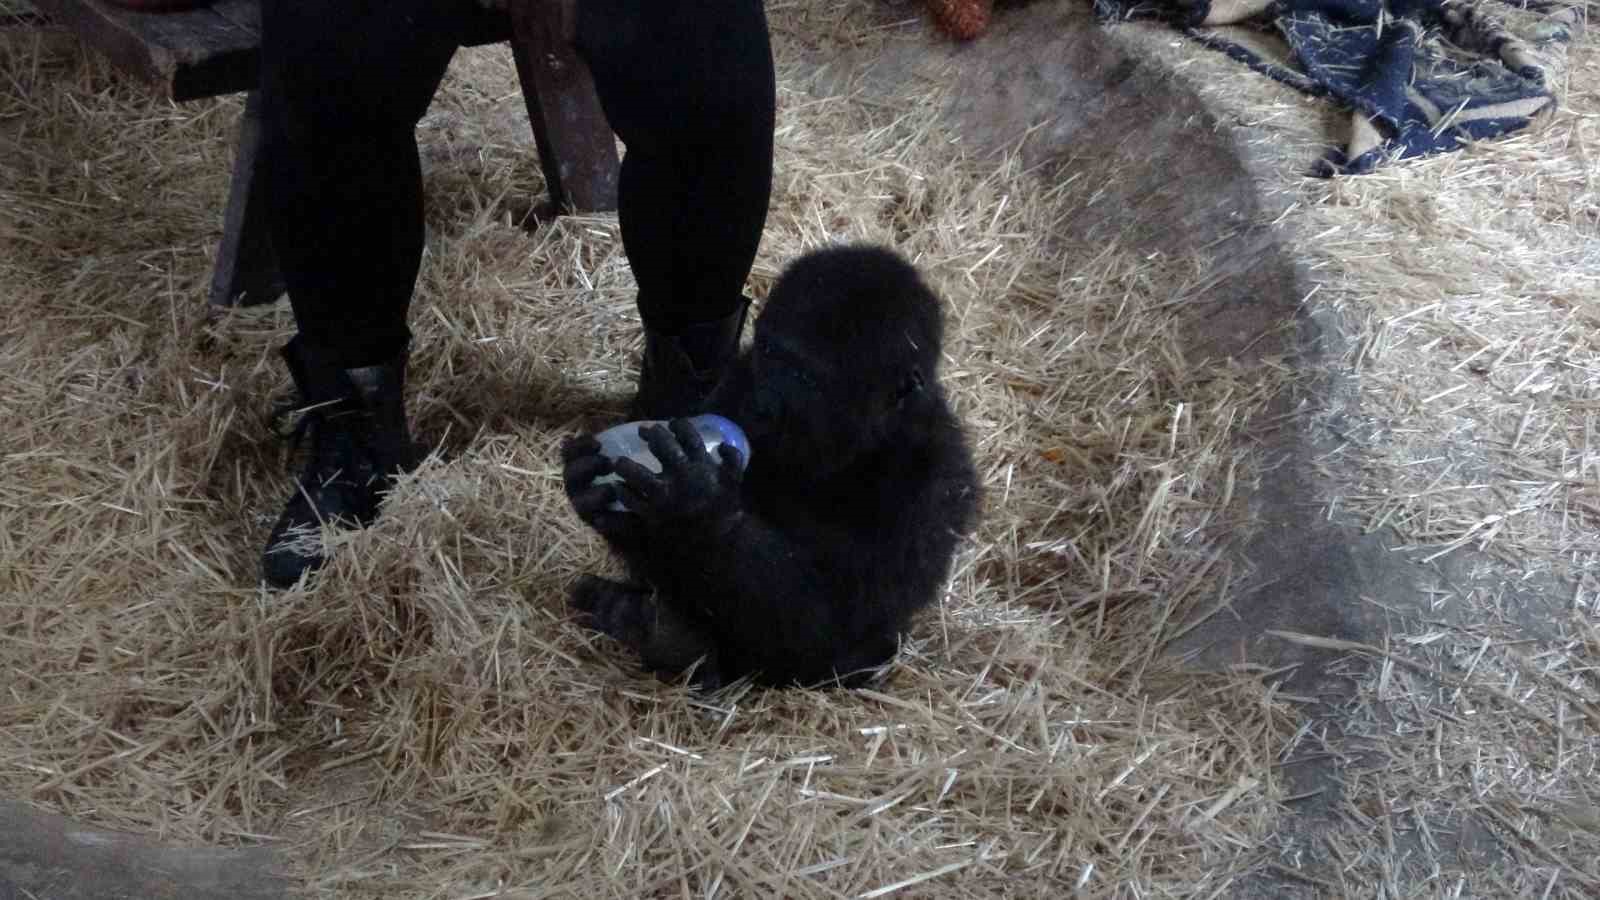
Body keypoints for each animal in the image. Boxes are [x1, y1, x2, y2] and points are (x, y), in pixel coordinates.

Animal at [569, 241, 979, 682]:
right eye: (769, 352)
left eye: (805, 377)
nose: (764, 403)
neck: (865, 443)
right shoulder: (740, 375)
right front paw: (600, 496)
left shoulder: (932, 486)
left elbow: (828, 627)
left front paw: (698, 504)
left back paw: (663, 634)